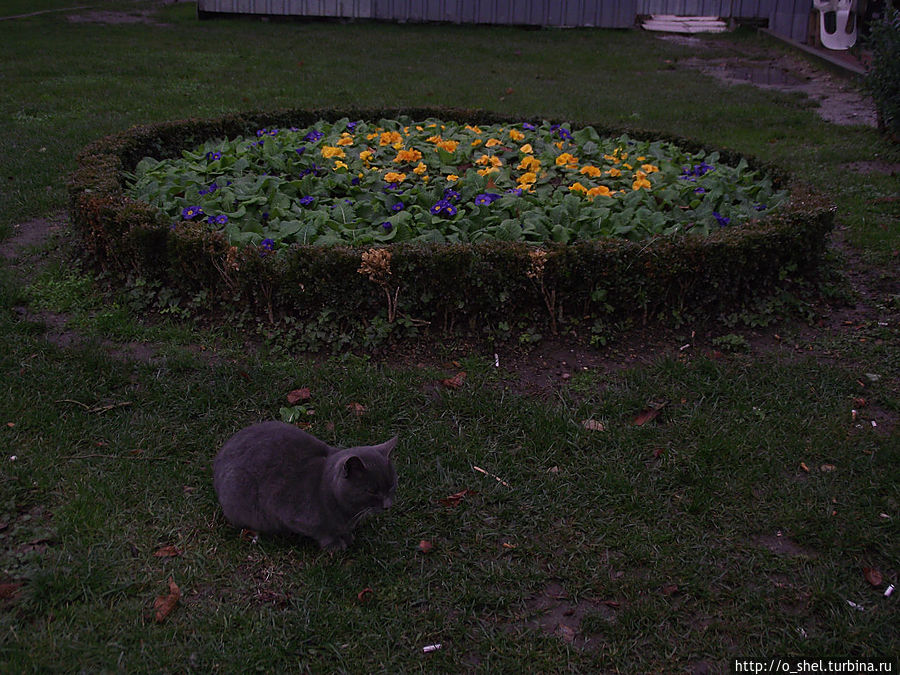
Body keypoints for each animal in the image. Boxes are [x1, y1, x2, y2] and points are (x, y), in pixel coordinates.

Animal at [214, 422, 398, 548]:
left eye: (391, 486)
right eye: (372, 491)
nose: (388, 505)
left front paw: (348, 537)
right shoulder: (293, 515)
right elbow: (322, 532)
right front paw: (335, 544)